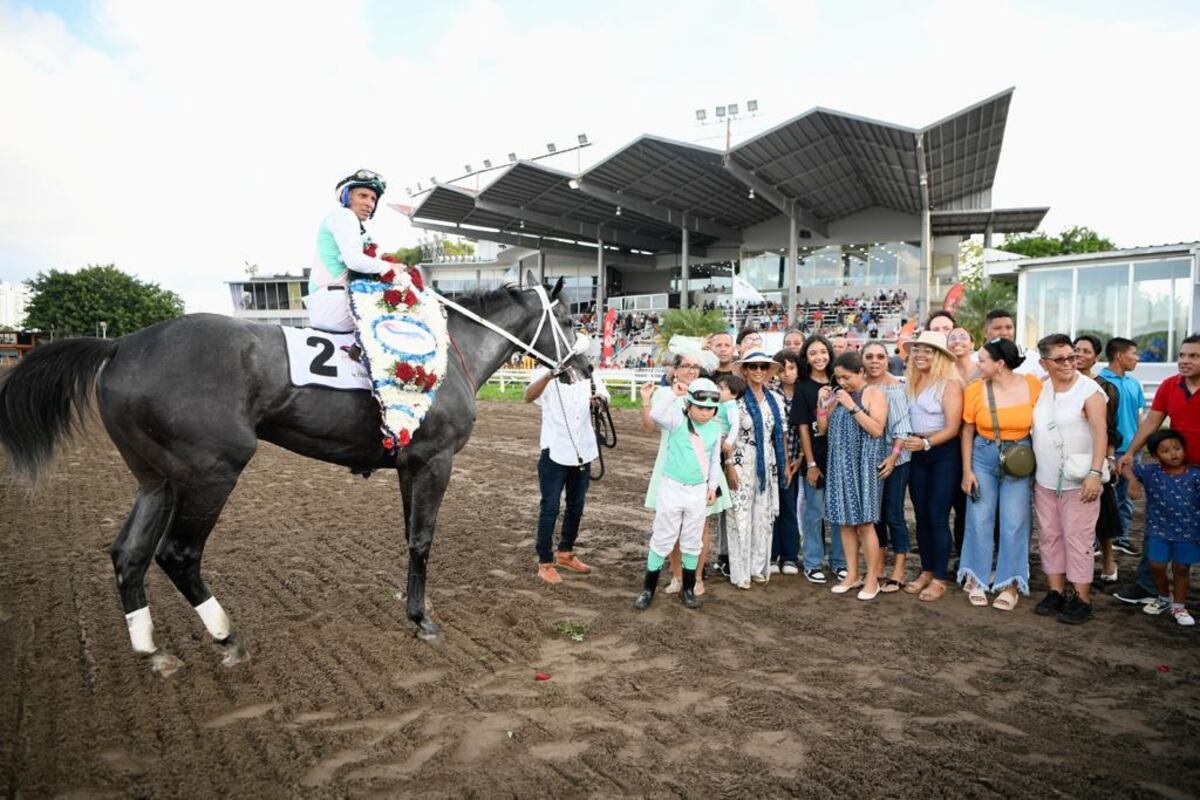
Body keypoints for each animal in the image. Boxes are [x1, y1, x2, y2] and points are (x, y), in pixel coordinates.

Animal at [0, 278, 590, 671]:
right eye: (570, 318)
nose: (585, 367)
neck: (449, 352)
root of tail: (119, 343)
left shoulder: (409, 463)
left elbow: (409, 537)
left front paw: (413, 607)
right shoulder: (434, 460)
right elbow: (423, 538)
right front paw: (423, 620)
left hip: (155, 479)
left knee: (129, 554)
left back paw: (152, 650)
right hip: (210, 473)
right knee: (177, 554)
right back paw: (226, 637)